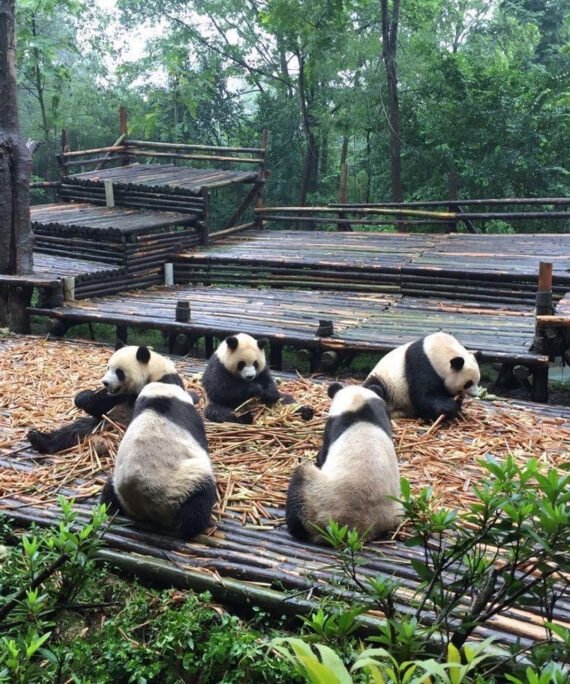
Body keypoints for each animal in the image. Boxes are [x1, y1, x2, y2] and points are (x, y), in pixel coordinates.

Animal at [27, 342, 182, 454]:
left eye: (119, 372)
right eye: (108, 367)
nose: (105, 383)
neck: (152, 371)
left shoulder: (163, 383)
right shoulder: (117, 398)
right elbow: (100, 406)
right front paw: (82, 397)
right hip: (99, 424)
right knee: (74, 430)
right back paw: (39, 439)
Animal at [100, 382, 215, 536]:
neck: (160, 395)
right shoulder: (190, 415)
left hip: (117, 479)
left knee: (108, 494)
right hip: (184, 483)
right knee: (196, 508)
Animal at [284, 382, 400, 544]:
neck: (360, 408)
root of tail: (359, 528)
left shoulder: (333, 425)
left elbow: (323, 454)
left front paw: (318, 457)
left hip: (318, 498)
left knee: (301, 479)